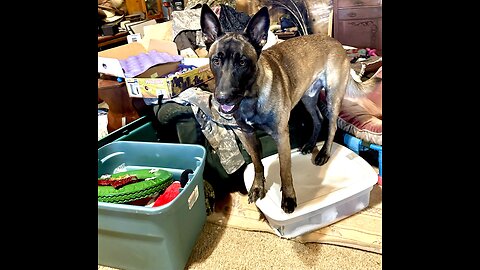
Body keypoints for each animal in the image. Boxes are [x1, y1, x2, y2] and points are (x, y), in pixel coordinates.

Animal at [199, 3, 378, 212]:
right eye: (216, 60)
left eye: (242, 62)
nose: (222, 98)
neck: (251, 97)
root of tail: (335, 41)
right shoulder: (248, 135)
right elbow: (257, 164)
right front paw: (257, 187)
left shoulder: (282, 137)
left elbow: (285, 171)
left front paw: (289, 198)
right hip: (308, 98)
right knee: (318, 119)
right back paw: (310, 145)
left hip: (333, 97)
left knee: (331, 125)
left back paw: (324, 153)